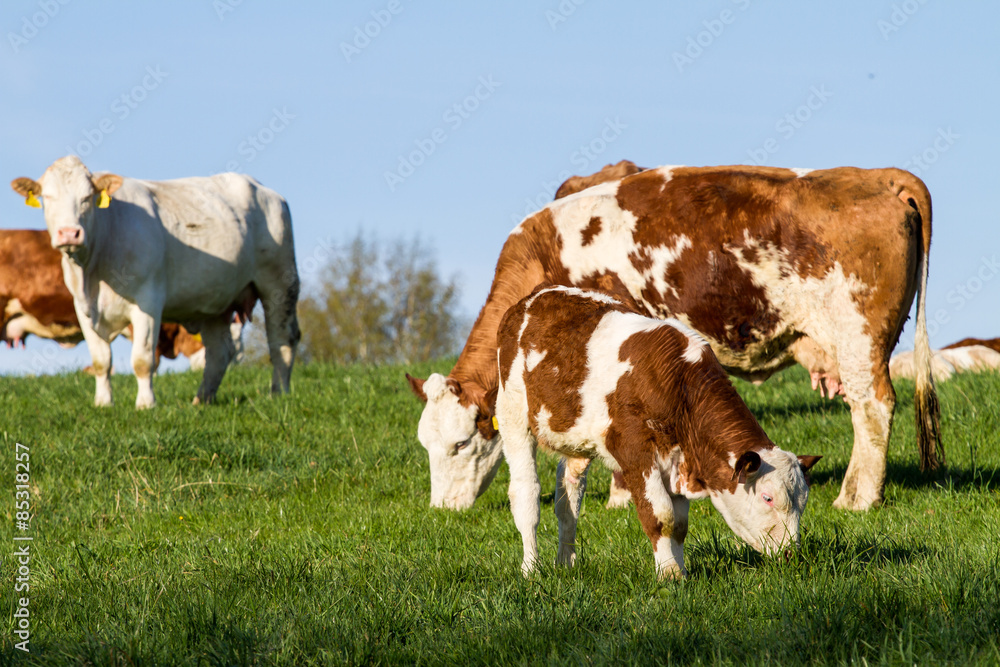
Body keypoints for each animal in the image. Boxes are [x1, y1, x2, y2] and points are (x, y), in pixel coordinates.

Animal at [10, 157, 300, 408]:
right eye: (47, 198)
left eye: (87, 198)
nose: (69, 233)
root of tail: (264, 189)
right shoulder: (82, 309)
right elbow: (101, 360)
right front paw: (103, 403)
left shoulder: (147, 302)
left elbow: (142, 359)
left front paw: (146, 404)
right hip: (217, 301)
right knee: (219, 353)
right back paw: (202, 399)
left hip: (279, 282)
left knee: (282, 341)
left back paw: (279, 393)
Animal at [408, 164, 936, 516]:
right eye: (425, 444)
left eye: (459, 443)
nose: (441, 510)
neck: (547, 255)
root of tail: (877, 176)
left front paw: (620, 498)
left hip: (858, 338)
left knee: (872, 408)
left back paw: (856, 499)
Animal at [494, 288, 820, 580]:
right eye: (768, 498)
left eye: (803, 501)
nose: (790, 553)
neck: (679, 385)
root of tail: (531, 300)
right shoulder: (635, 451)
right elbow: (661, 516)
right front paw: (669, 575)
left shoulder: (678, 461)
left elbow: (679, 525)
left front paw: (681, 571)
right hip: (512, 415)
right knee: (526, 495)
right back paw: (531, 569)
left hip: (575, 440)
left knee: (568, 498)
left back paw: (565, 563)